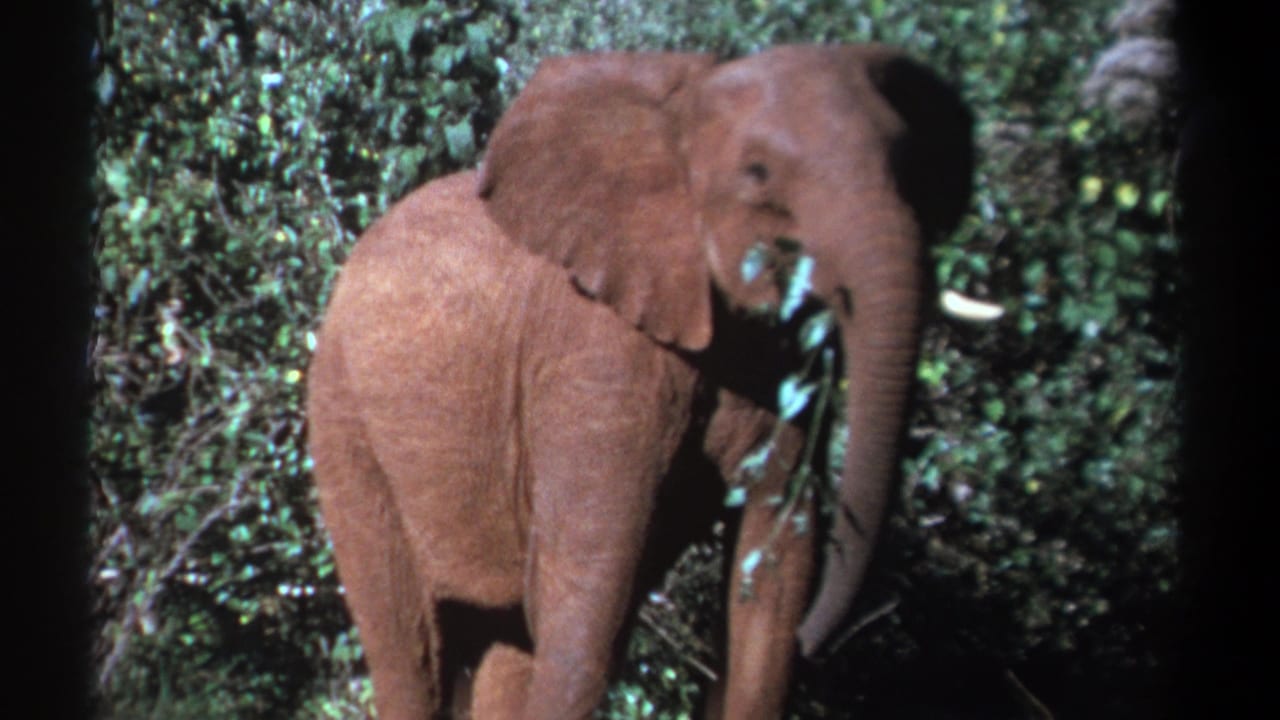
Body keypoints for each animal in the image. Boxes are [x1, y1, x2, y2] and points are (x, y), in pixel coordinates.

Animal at [306, 43, 973, 719]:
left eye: (910, 167)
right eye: (758, 172)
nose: (825, 638)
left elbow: (773, 587)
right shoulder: (597, 349)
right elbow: (587, 609)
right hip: (343, 418)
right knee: (411, 648)